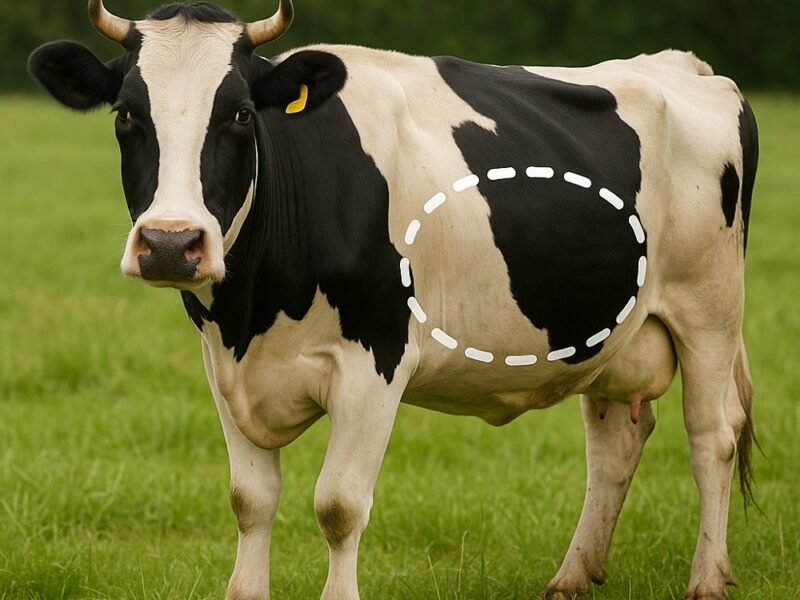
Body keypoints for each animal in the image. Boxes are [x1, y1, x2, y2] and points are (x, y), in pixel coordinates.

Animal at [28, 1, 758, 598]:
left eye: (239, 114)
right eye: (126, 114)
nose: (171, 243)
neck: (255, 308)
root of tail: (685, 66)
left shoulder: (374, 360)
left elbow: (338, 506)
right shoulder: (224, 366)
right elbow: (250, 500)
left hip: (709, 312)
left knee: (712, 437)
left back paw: (706, 579)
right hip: (604, 333)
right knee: (615, 444)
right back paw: (573, 577)